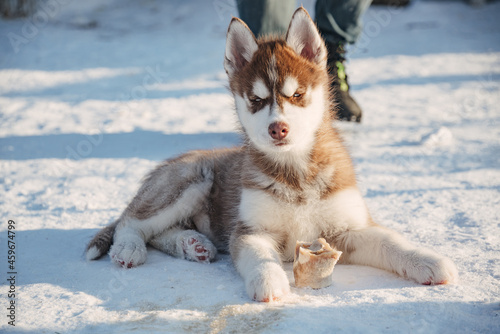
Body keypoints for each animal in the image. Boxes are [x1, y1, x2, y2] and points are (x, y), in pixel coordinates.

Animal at [86, 7, 458, 302]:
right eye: (256, 100)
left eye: (297, 94)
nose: (278, 129)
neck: (297, 173)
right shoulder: (252, 231)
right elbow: (258, 258)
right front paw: (269, 282)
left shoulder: (348, 228)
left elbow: (390, 241)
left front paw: (427, 260)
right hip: (189, 182)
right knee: (131, 222)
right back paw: (130, 248)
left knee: (158, 231)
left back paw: (193, 244)